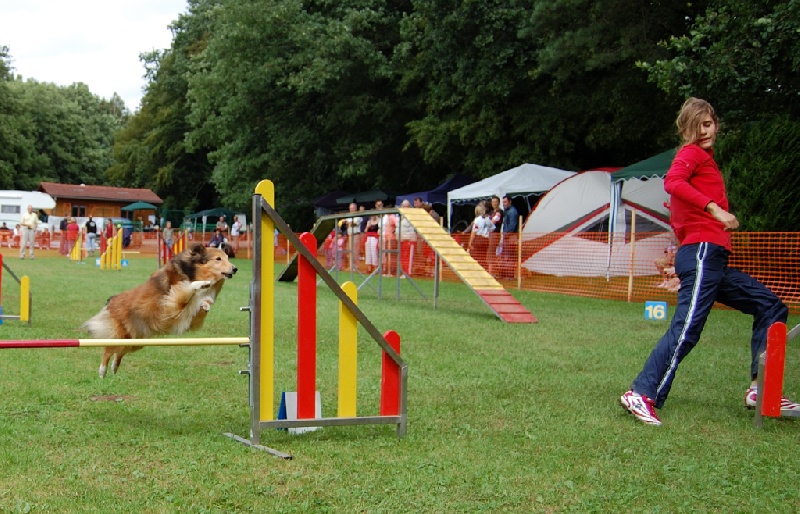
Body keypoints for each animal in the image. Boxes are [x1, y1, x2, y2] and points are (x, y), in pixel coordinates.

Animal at [86, 242, 239, 374]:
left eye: (227, 258)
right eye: (218, 259)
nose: (235, 268)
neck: (191, 272)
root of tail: (111, 301)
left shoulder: (190, 319)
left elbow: (201, 305)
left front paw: (206, 302)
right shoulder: (173, 304)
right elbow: (187, 289)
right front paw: (201, 284)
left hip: (135, 340)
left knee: (119, 352)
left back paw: (114, 367)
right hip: (121, 334)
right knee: (108, 348)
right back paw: (102, 370)